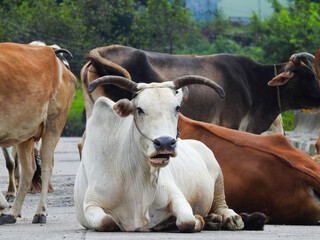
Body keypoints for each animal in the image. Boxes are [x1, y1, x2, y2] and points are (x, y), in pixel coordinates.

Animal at [75, 75, 244, 232]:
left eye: (177, 108)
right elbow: (107, 222)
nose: (165, 143)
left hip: (218, 177)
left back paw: (230, 218)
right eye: (139, 109)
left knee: (222, 205)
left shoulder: (176, 196)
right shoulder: (91, 204)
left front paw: (197, 220)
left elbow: (187, 221)